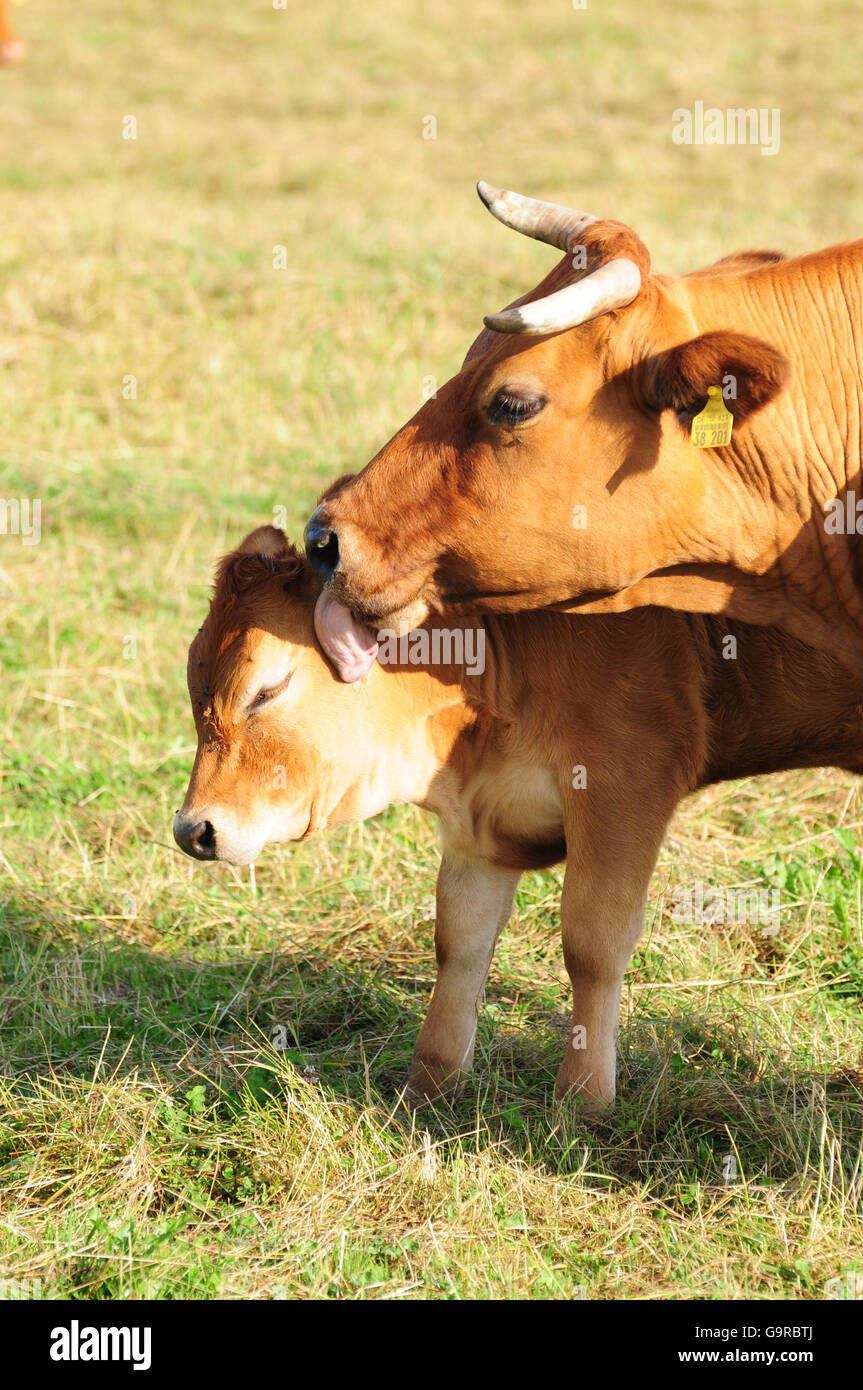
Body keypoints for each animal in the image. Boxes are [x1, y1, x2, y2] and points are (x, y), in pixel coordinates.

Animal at [175, 525, 861, 1112]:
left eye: (268, 690)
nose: (192, 831)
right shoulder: (478, 825)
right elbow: (460, 940)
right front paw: (429, 1087)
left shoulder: (623, 780)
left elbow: (593, 943)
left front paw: (583, 1101)